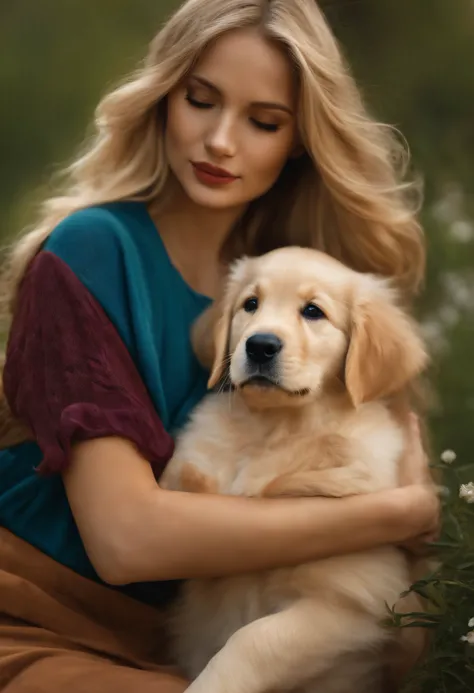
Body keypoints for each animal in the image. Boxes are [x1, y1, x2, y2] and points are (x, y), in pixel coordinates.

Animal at [160, 247, 430, 692]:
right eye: (251, 304)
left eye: (313, 311)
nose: (260, 345)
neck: (277, 429)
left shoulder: (352, 599)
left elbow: (253, 640)